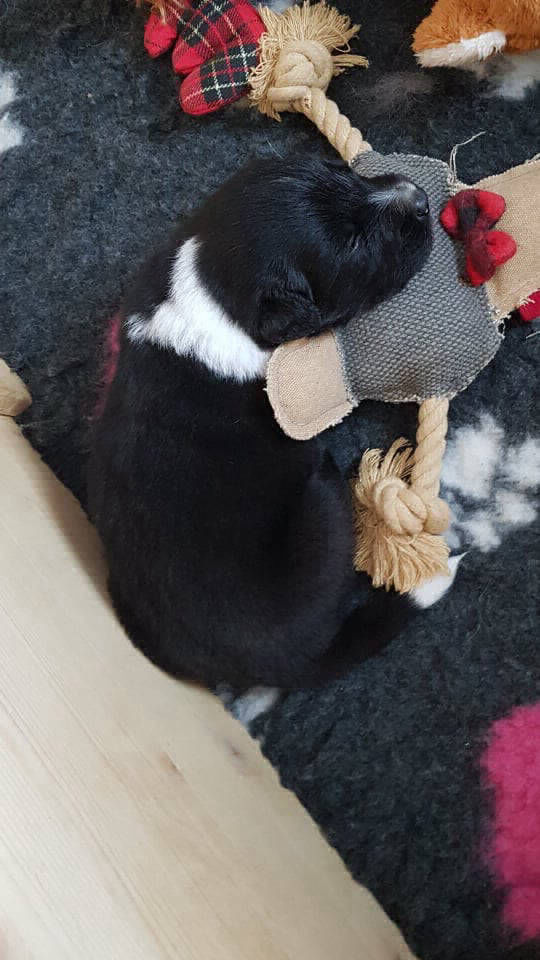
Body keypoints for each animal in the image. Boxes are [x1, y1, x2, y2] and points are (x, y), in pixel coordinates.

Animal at [88, 155, 433, 690]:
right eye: (353, 243)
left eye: (341, 171)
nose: (421, 198)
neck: (214, 292)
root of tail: (282, 667)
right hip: (321, 503)